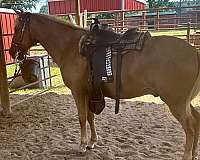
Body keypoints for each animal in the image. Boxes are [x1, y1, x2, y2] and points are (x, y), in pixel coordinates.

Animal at [9, 11, 200, 160]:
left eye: (17, 29)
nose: (11, 52)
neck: (71, 46)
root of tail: (194, 52)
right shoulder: (89, 92)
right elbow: (90, 117)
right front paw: (92, 142)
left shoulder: (78, 92)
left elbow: (81, 117)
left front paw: (82, 145)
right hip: (184, 102)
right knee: (196, 120)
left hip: (176, 103)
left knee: (190, 127)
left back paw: (187, 155)